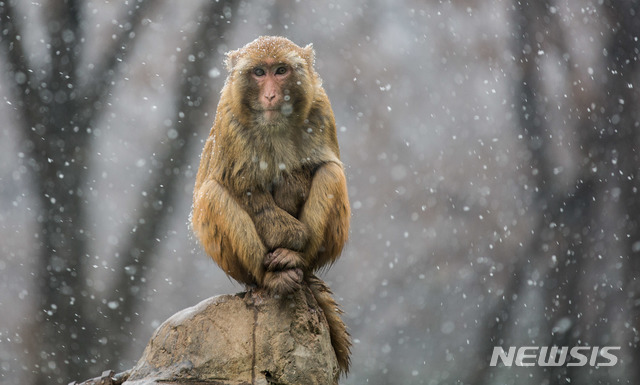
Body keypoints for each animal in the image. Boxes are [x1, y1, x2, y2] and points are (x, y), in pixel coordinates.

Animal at [191, 35, 350, 376]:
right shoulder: (230, 121)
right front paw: (287, 234)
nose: (271, 94)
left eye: (280, 70)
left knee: (331, 174)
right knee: (212, 192)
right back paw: (270, 277)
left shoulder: (321, 110)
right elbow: (242, 187)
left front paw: (292, 223)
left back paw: (296, 258)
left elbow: (319, 165)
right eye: (259, 72)